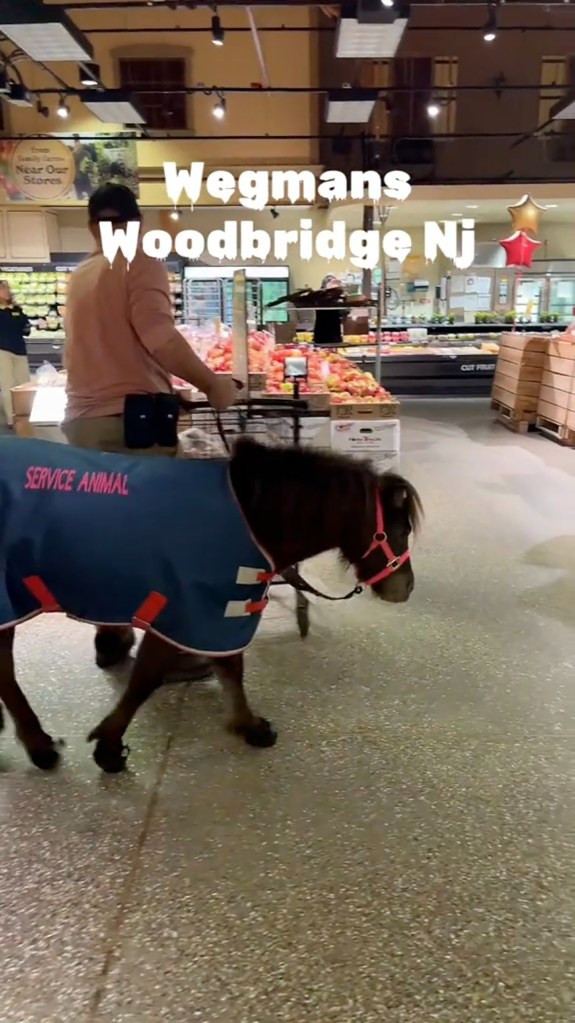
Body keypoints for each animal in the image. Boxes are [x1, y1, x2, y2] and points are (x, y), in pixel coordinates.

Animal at [0, 435, 421, 769]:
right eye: (399, 529)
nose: (406, 587)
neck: (250, 514)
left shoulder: (222, 610)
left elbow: (230, 669)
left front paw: (248, 725)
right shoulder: (187, 613)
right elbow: (145, 680)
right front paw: (109, 746)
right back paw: (39, 746)